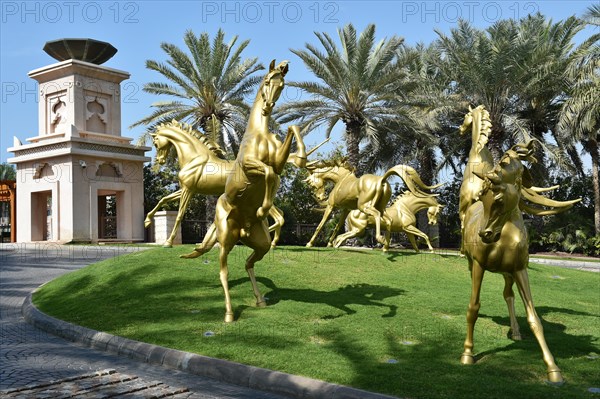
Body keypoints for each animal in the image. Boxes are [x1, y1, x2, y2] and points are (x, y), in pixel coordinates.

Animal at [180, 59, 308, 324]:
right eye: (268, 80)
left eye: (282, 84)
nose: (267, 107)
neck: (258, 134)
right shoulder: (251, 166)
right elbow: (269, 174)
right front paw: (263, 209)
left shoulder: (277, 162)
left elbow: (292, 131)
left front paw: (301, 158)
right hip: (226, 238)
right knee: (224, 272)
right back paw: (229, 313)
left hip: (259, 244)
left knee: (249, 264)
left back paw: (260, 300)